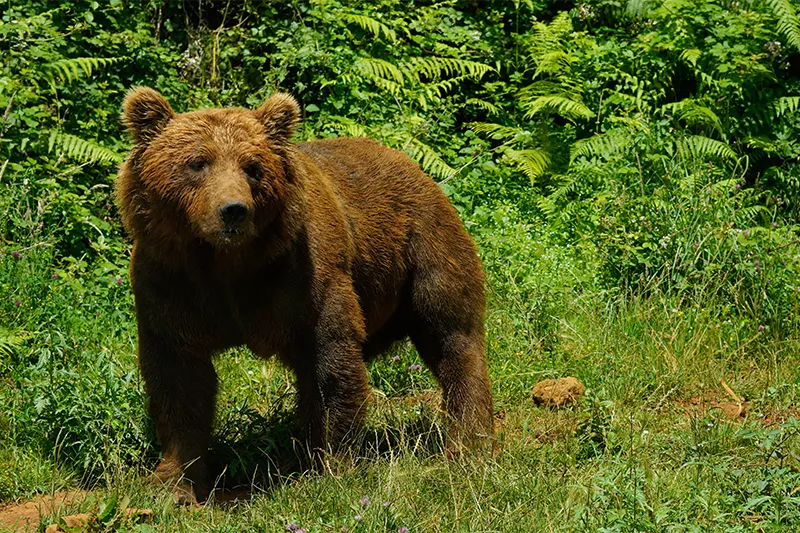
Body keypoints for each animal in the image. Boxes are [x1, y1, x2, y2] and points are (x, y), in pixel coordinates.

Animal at [116, 87, 493, 504]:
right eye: (198, 162)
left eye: (252, 166)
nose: (233, 210)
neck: (226, 264)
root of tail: (412, 164)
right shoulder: (172, 284)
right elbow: (179, 378)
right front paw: (175, 482)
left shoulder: (301, 275)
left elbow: (328, 361)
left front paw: (331, 462)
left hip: (424, 246)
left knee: (451, 334)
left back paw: (469, 440)